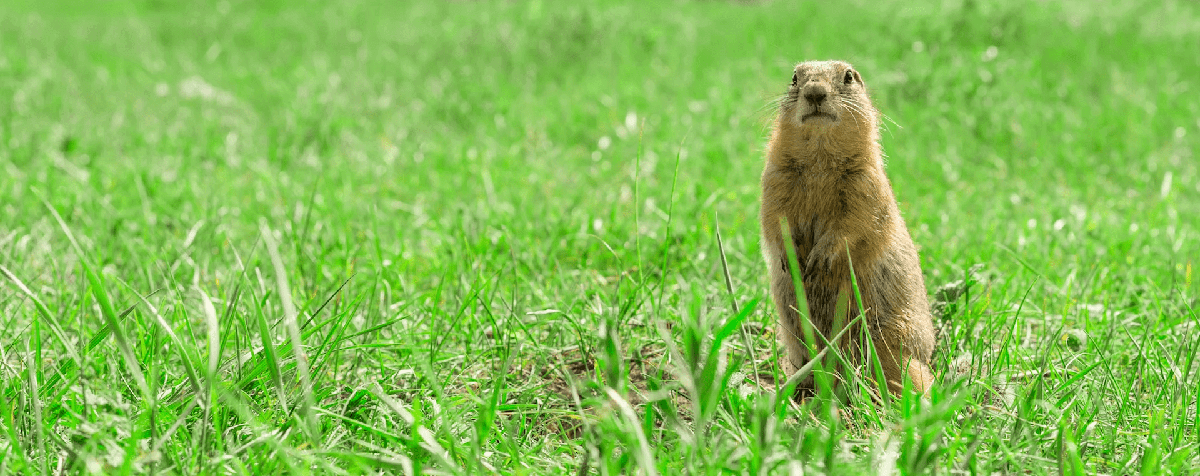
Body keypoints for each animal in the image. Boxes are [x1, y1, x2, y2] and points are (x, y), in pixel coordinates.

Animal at [758, 61, 936, 395]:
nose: (815, 92)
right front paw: (792, 257)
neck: (819, 158)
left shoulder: (865, 182)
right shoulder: (775, 178)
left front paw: (821, 259)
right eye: (794, 78)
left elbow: (855, 222)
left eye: (849, 76)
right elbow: (774, 218)